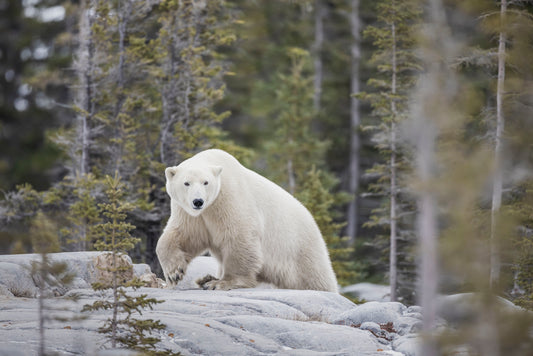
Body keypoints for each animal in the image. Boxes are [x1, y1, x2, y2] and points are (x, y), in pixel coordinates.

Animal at [156, 148, 336, 292]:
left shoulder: (229, 199)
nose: (198, 201)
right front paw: (174, 272)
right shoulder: (192, 214)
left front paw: (222, 283)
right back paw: (205, 278)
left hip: (300, 249)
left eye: (206, 182)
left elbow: (238, 237)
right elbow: (184, 235)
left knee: (314, 275)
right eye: (186, 183)